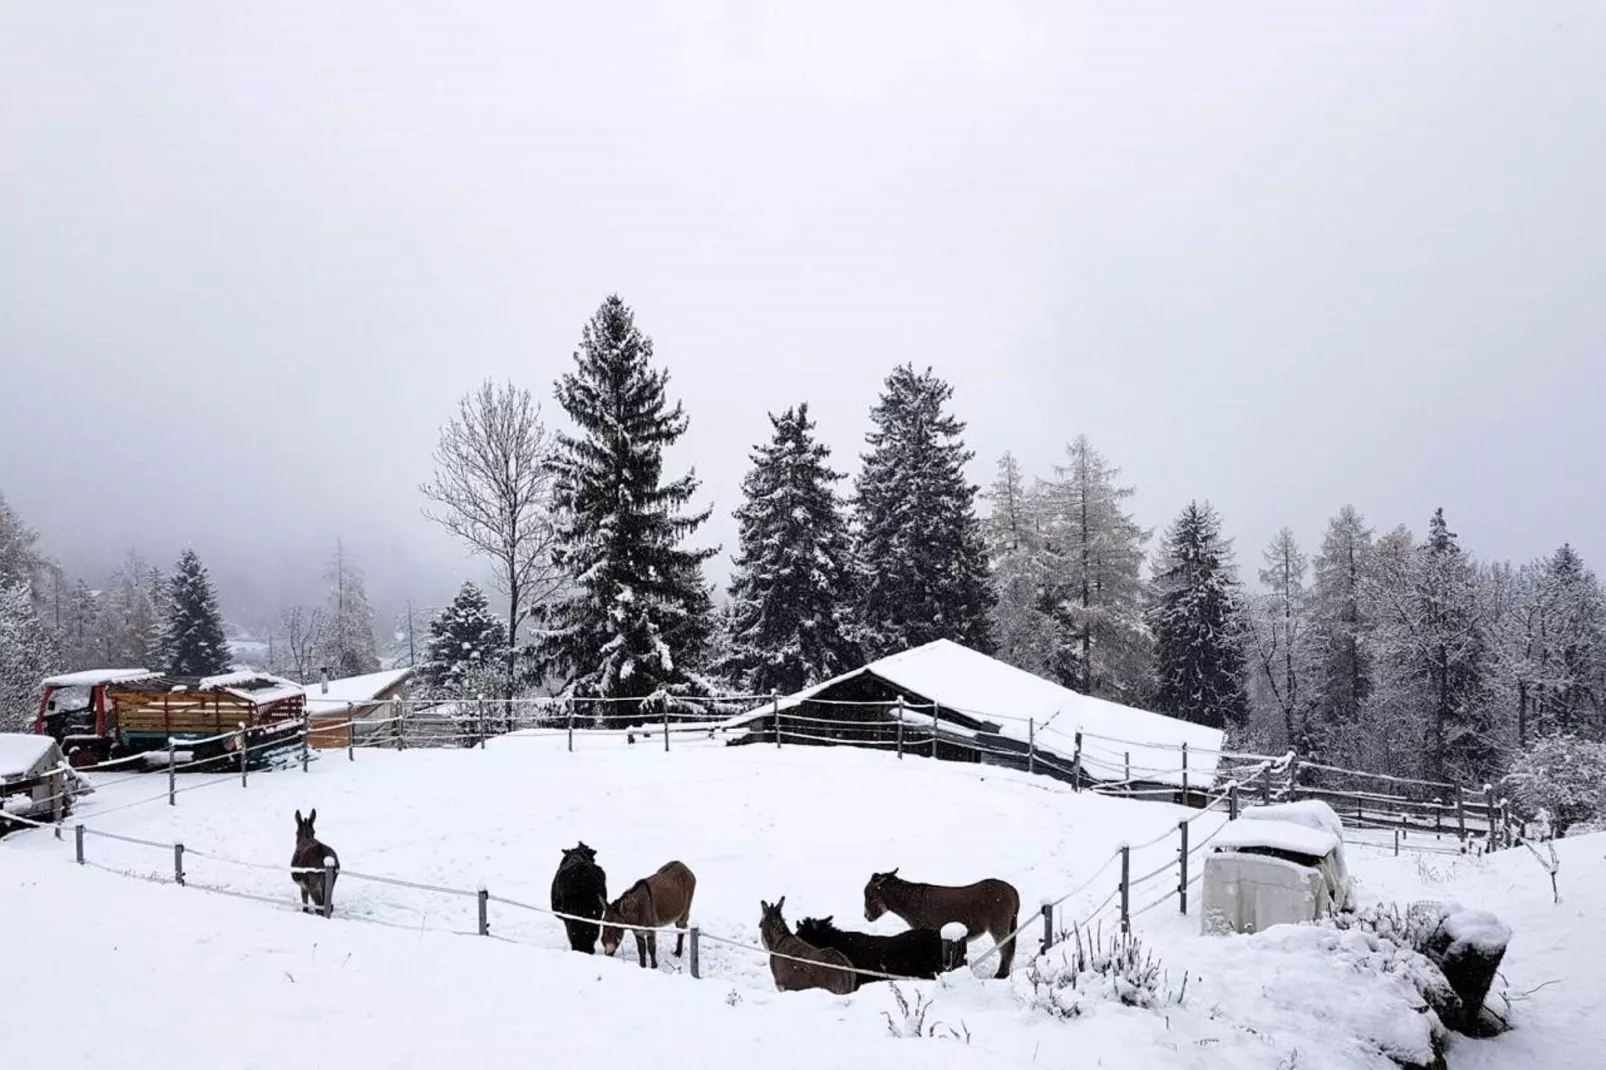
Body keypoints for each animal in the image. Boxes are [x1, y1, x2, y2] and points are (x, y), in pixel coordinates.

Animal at [860, 867, 1021, 976]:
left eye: (869, 896)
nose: (866, 917)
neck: (911, 901)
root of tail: (1013, 890)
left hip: (998, 927)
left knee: (1005, 950)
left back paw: (1001, 975)